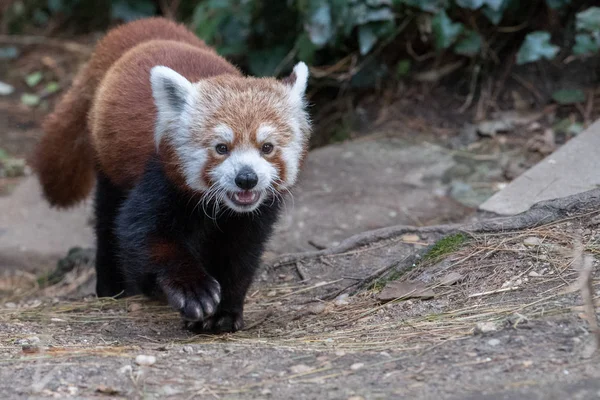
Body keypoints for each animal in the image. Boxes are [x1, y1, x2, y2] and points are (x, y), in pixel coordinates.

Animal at [33, 17, 312, 332]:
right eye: (221, 148)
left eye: (267, 147)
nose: (246, 178)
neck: (221, 207)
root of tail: (134, 28)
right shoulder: (159, 178)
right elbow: (143, 233)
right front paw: (193, 290)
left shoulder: (254, 215)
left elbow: (239, 255)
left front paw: (224, 312)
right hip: (108, 160)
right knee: (108, 220)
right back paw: (115, 287)